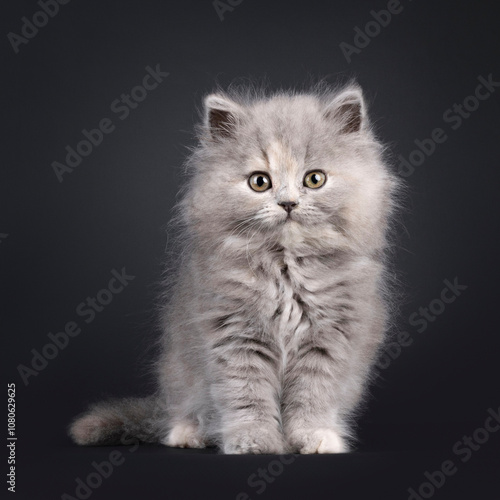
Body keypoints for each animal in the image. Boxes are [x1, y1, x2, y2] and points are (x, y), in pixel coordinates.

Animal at [69, 82, 398, 454]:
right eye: (260, 182)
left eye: (314, 179)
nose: (288, 203)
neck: (285, 269)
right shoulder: (233, 332)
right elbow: (246, 395)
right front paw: (254, 439)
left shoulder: (332, 335)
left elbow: (313, 395)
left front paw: (313, 436)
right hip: (179, 371)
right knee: (184, 408)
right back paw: (189, 433)